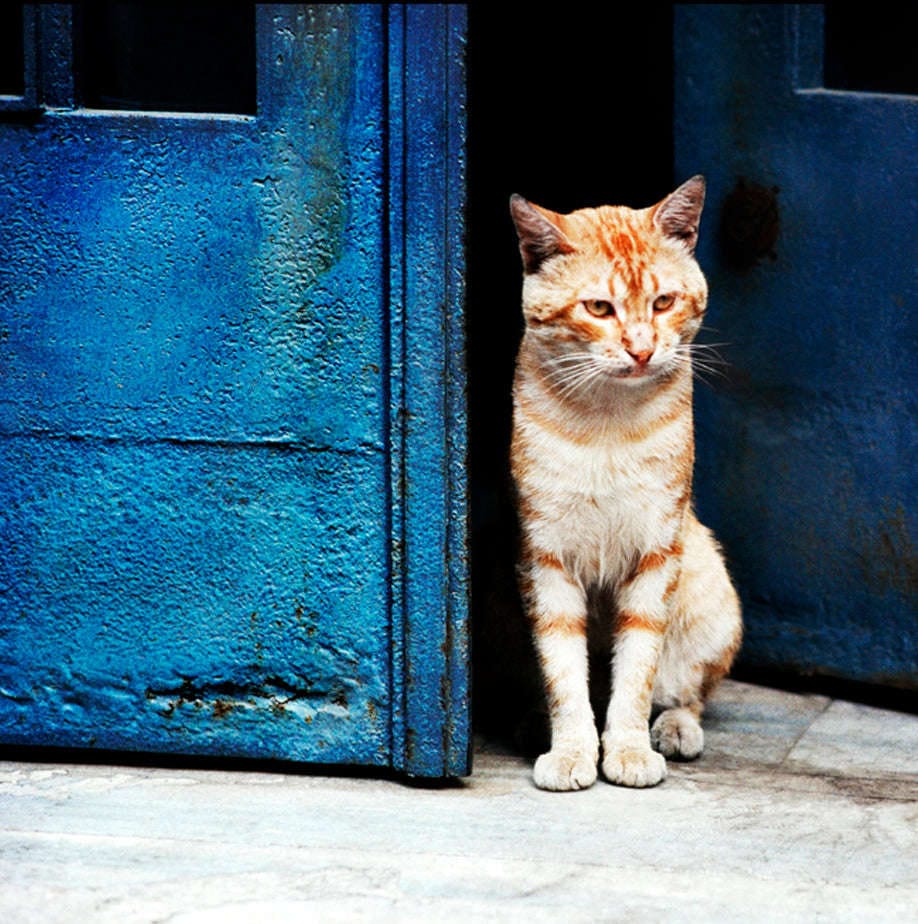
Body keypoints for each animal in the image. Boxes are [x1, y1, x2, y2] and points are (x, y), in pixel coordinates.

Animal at [510, 177, 748, 792]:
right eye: (599, 307)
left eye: (663, 302)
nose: (642, 349)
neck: (606, 422)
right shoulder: (546, 559)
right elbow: (564, 673)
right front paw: (572, 750)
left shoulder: (656, 554)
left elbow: (637, 670)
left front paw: (629, 750)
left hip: (710, 590)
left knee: (689, 692)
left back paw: (676, 728)